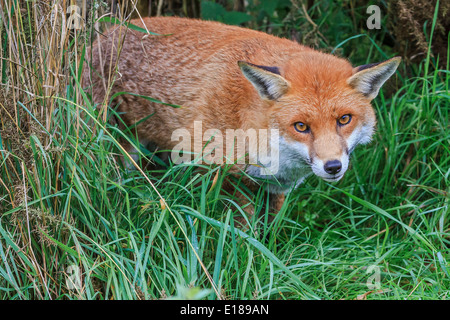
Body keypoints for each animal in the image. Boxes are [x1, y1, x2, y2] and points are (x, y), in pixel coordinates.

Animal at [83, 16, 400, 222]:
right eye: (301, 126)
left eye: (344, 119)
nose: (333, 167)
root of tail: (104, 34)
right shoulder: (229, 176)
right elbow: (244, 233)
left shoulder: (276, 188)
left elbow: (271, 234)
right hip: (114, 145)